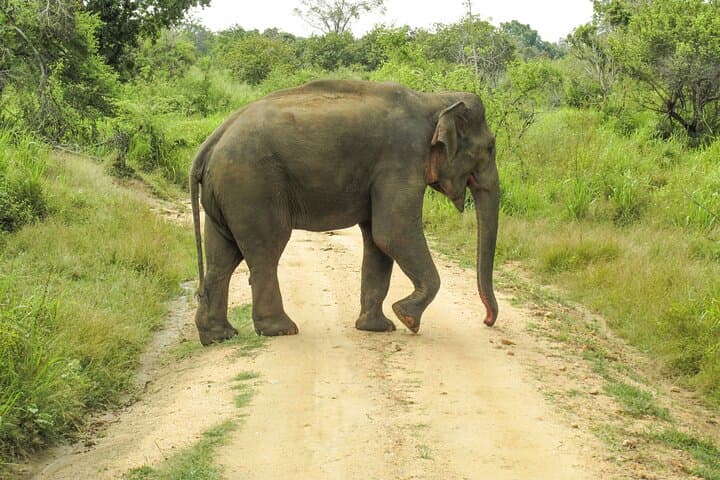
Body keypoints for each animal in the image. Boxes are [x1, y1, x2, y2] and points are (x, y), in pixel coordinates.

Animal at [190, 79, 499, 345]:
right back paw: (281, 330)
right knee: (266, 250)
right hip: (251, 187)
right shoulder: (402, 159)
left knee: (222, 256)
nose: (486, 321)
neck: (434, 101)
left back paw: (219, 335)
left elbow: (378, 241)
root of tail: (210, 143)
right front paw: (406, 318)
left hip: (226, 194)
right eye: (491, 147)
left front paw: (377, 328)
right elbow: (393, 233)